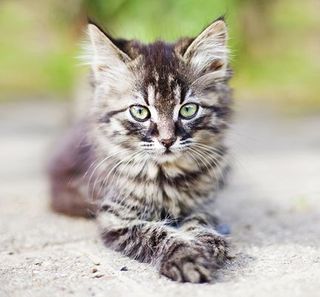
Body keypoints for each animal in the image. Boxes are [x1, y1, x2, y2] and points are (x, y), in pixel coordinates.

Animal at [48, 17, 232, 280]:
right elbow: (157, 234)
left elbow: (201, 222)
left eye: (188, 110)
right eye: (140, 112)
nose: (167, 140)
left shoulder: (203, 204)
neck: (164, 176)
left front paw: (207, 244)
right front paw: (186, 257)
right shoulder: (116, 218)